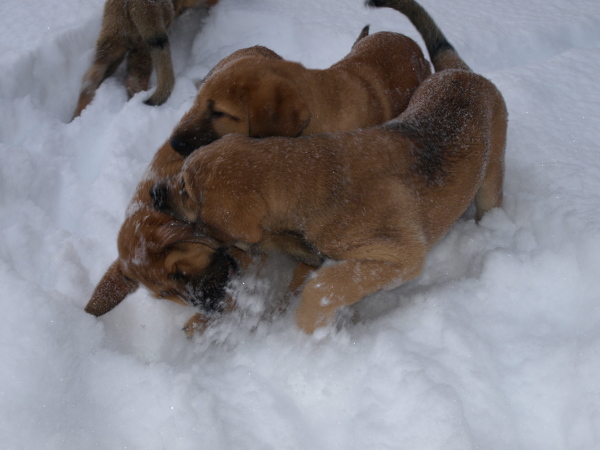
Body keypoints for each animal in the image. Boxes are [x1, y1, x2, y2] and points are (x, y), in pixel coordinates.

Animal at [72, 0, 218, 120]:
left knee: (90, 78)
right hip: (142, 48)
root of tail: (133, 4)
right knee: (134, 81)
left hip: (111, 44)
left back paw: (79, 114)